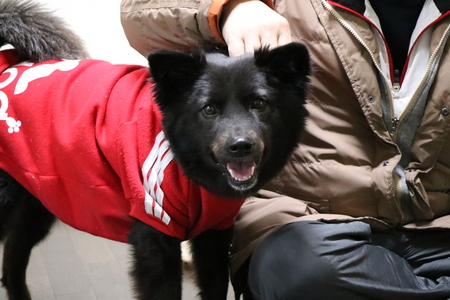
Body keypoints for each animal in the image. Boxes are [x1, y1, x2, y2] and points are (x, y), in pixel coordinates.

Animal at [0, 1, 310, 298]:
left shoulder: (214, 233)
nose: (241, 146)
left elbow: (216, 287)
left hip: (39, 204)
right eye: (209, 109)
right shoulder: (155, 235)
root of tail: (7, 67)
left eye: (259, 104)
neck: (183, 164)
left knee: (13, 256)